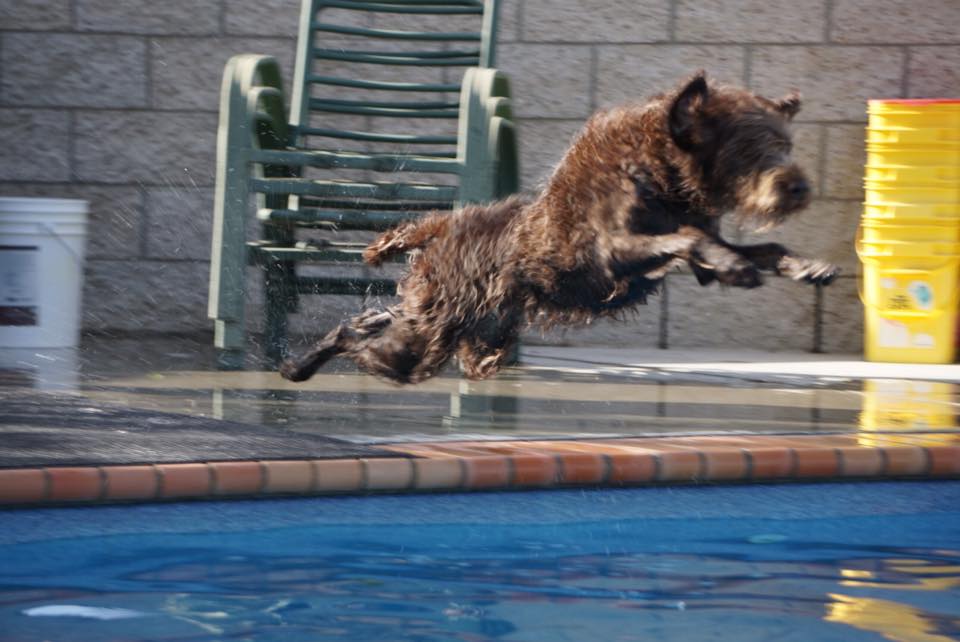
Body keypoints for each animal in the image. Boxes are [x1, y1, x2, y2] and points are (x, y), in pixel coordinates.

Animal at [280, 72, 838, 385]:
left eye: (784, 145)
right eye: (746, 149)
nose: (798, 187)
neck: (659, 172)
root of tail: (439, 231)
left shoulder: (693, 246)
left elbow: (758, 245)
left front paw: (808, 265)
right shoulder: (614, 250)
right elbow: (695, 240)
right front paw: (739, 265)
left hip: (445, 322)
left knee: (372, 320)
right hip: (424, 342)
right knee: (357, 337)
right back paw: (299, 366)